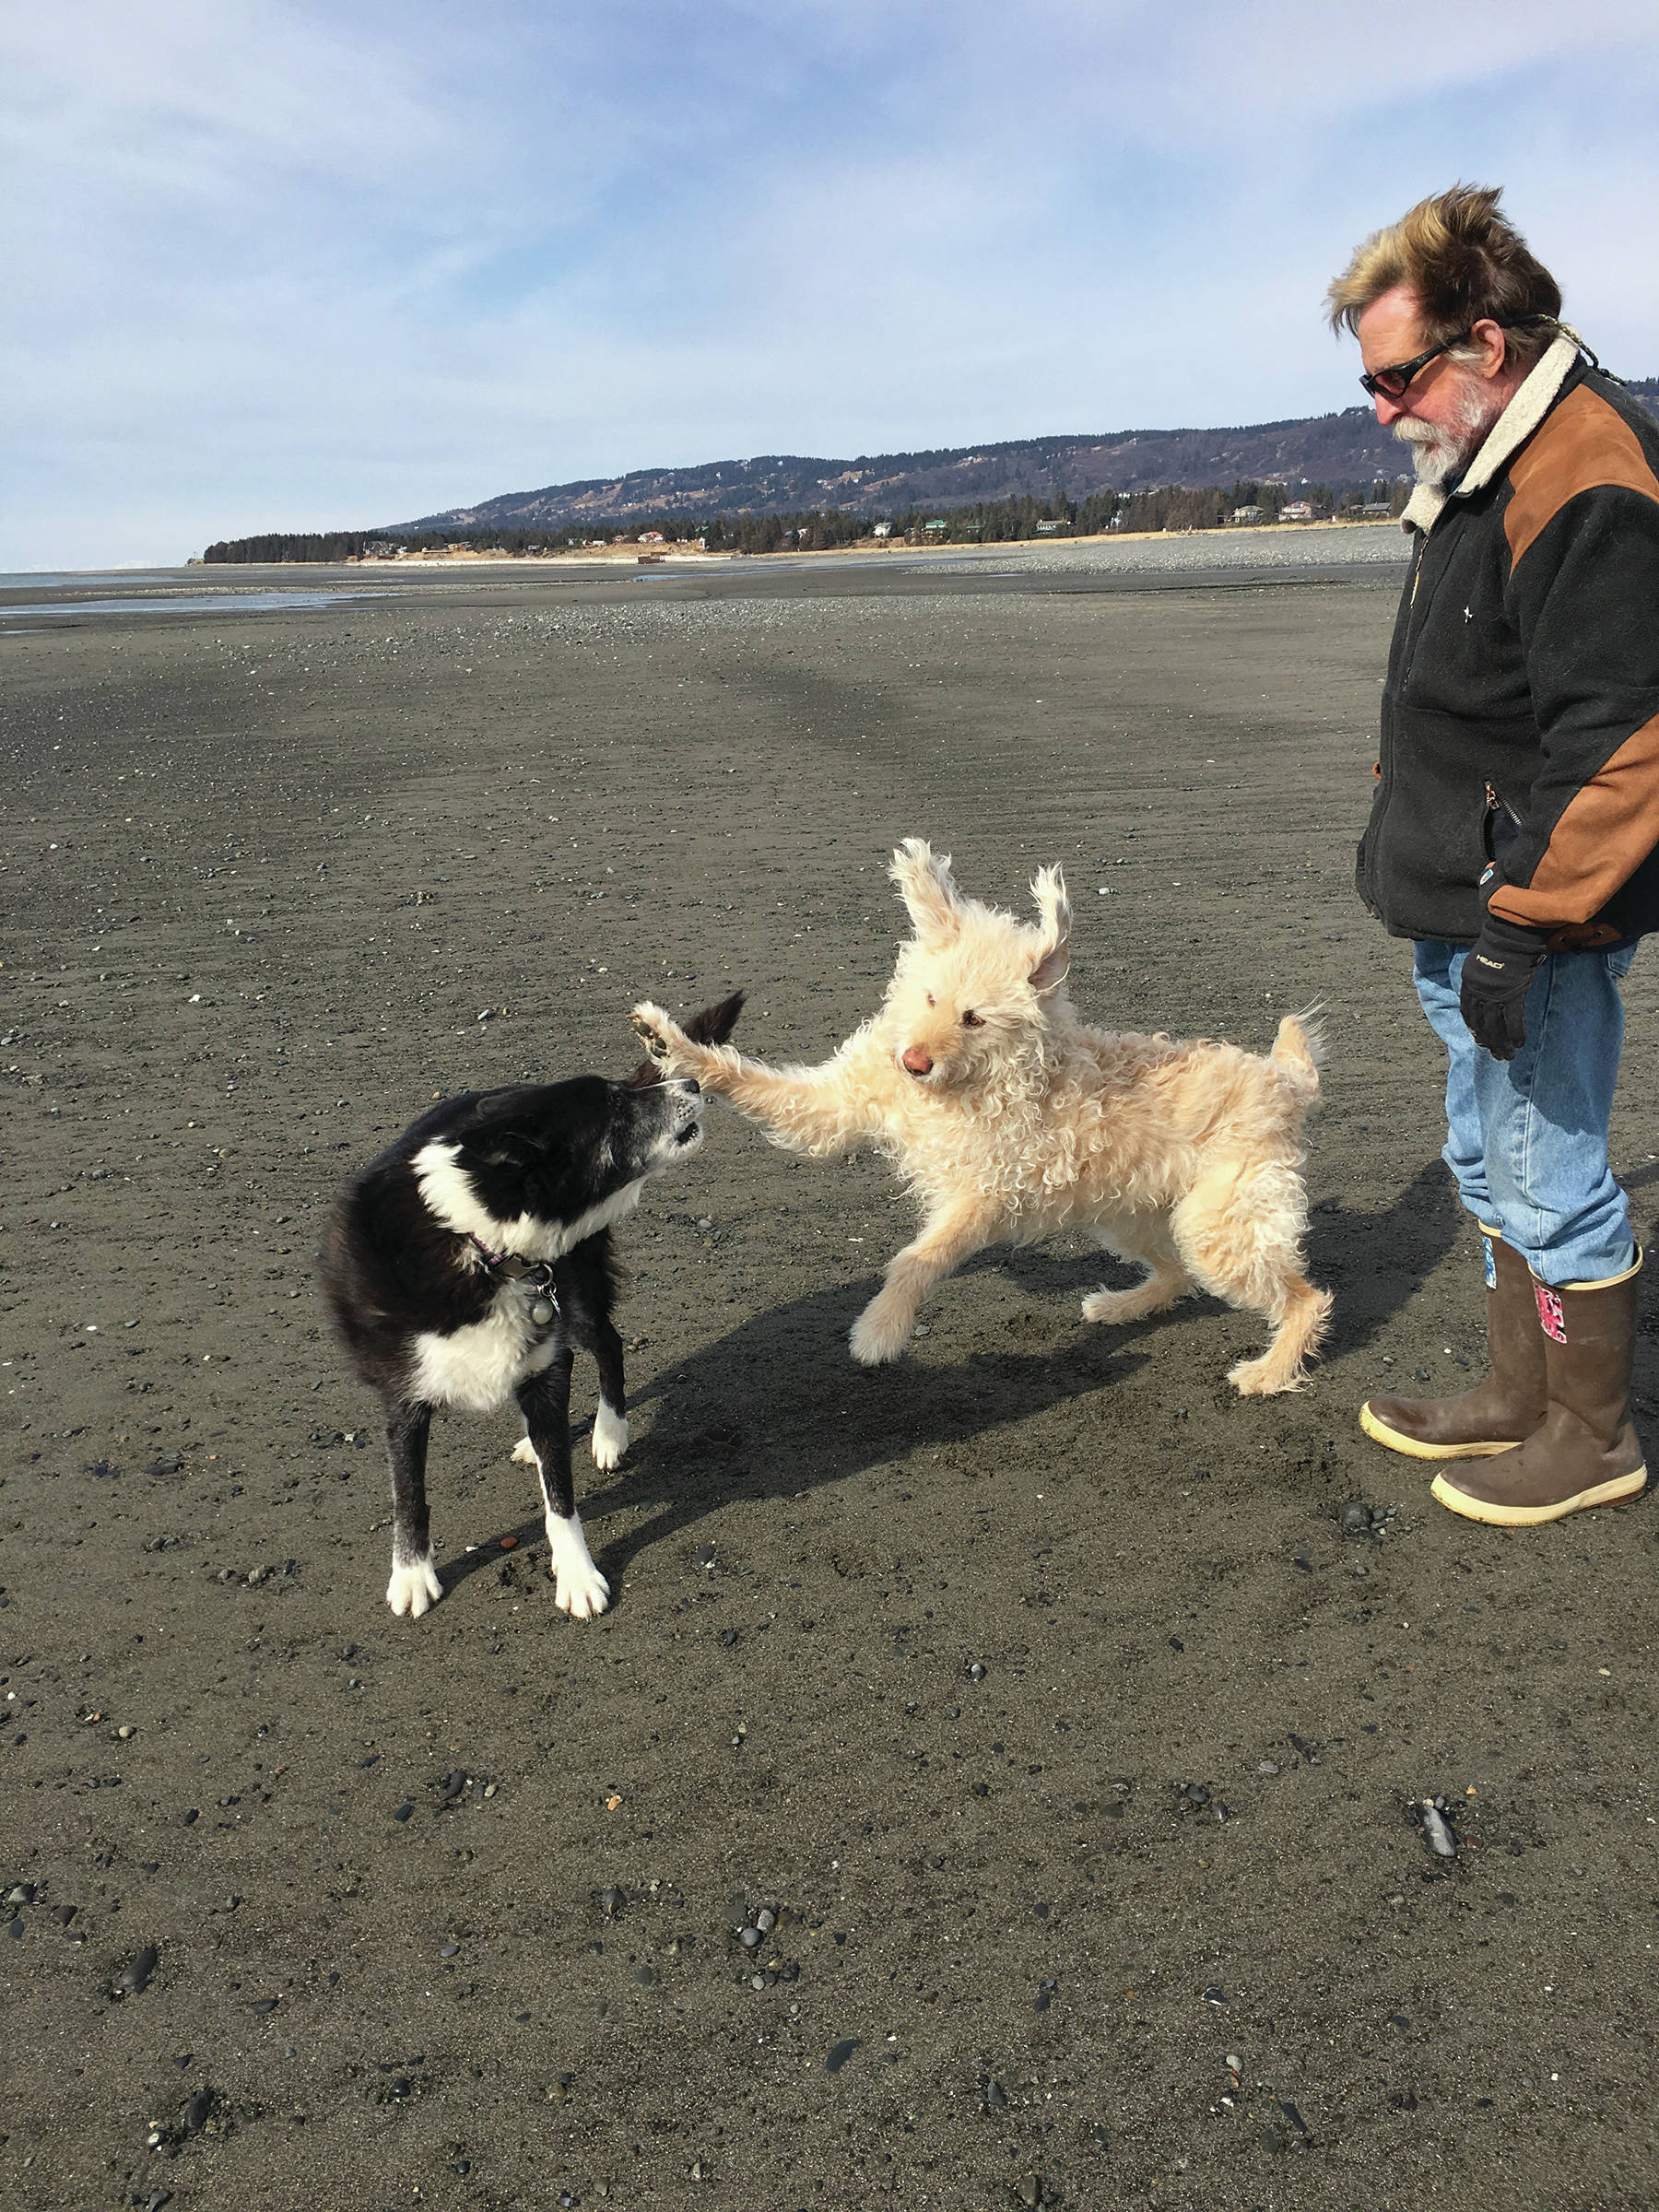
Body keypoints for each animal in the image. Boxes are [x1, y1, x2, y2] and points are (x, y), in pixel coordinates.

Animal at [324, 995, 738, 1618]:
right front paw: (412, 1575)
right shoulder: (402, 1394)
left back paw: (609, 1432)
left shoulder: (546, 1356)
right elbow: (408, 1493)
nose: (690, 1081)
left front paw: (578, 1575)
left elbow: (561, 1497)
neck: (480, 1243)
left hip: (578, 1294)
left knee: (608, 1344)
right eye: (615, 1108)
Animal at [628, 836, 1335, 1389]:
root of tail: (1286, 1081)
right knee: (1176, 1273)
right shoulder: (840, 1106)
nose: (912, 1061)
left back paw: (1271, 1371)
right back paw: (1122, 1306)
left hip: (1218, 1225)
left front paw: (880, 1330)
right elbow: (747, 1080)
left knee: (1304, 1297)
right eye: (930, 997)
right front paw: (672, 1044)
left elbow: (917, 1260)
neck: (959, 1087)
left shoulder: (985, 1195)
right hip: (1132, 1214)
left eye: (975, 1018)